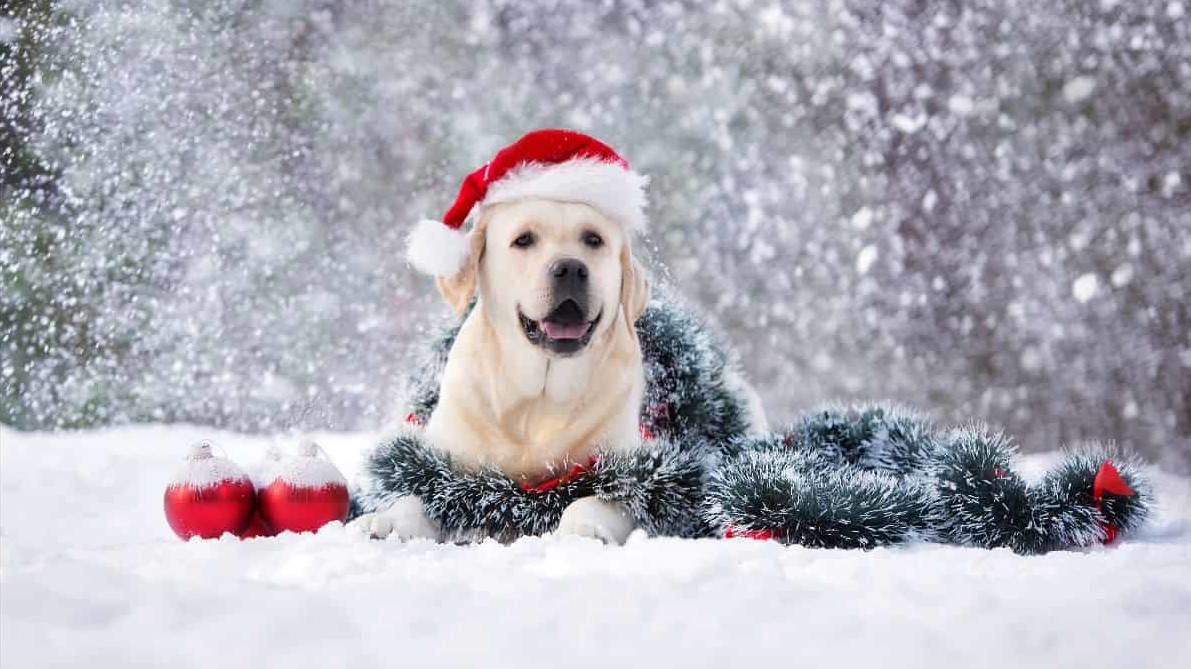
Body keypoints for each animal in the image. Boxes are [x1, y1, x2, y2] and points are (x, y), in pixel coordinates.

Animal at [352, 197, 652, 542]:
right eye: (523, 240)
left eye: (593, 239)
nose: (571, 268)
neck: (538, 400)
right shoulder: (444, 460)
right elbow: (417, 491)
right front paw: (389, 520)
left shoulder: (622, 463)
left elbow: (603, 497)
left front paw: (584, 528)